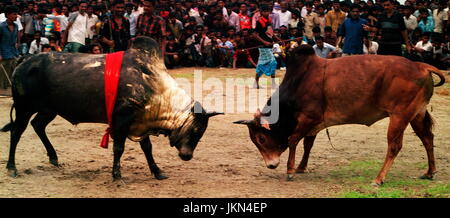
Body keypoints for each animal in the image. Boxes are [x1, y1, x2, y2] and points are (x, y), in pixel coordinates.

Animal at [0, 37, 222, 181]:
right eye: (196, 130)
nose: (187, 156)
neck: (156, 88)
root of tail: (25, 59)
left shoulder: (141, 121)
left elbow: (147, 148)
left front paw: (157, 171)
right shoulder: (122, 120)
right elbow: (119, 148)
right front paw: (116, 175)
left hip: (48, 110)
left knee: (38, 125)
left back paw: (53, 157)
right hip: (24, 107)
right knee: (16, 132)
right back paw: (12, 167)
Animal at [236, 45, 446, 185]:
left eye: (261, 138)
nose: (270, 165)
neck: (300, 81)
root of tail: (421, 66)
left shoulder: (309, 118)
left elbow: (293, 140)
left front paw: (290, 170)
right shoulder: (314, 124)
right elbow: (308, 144)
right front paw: (301, 167)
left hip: (399, 116)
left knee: (394, 146)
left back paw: (379, 179)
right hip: (416, 114)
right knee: (427, 138)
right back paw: (430, 172)